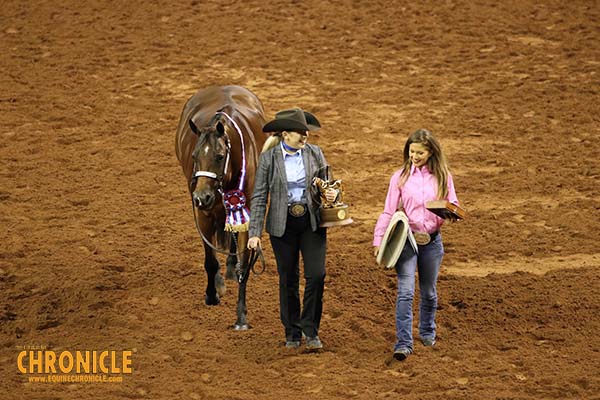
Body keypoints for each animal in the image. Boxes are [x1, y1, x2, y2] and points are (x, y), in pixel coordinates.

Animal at [175, 86, 266, 330]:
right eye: (195, 156)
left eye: (219, 156)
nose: (201, 197)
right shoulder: (203, 215)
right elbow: (210, 260)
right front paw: (211, 294)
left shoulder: (246, 216)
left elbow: (244, 264)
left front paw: (241, 316)